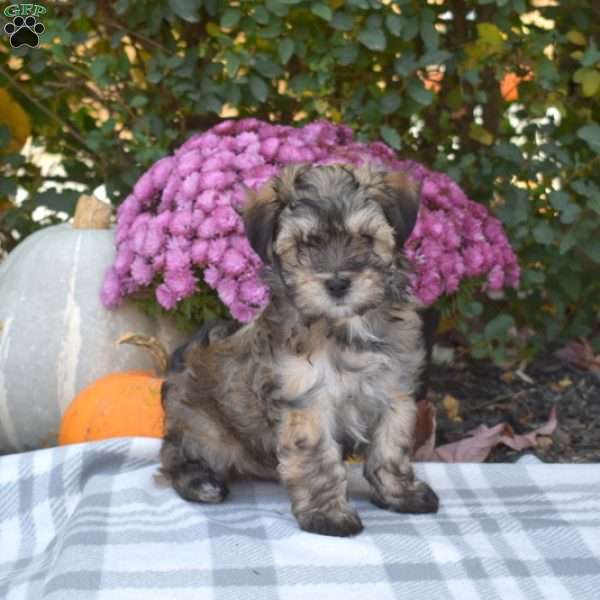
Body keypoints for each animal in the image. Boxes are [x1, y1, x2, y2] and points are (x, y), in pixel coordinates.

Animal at [162, 162, 438, 536]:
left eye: (365, 239)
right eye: (304, 245)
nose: (337, 283)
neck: (344, 328)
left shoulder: (393, 393)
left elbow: (390, 449)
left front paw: (401, 494)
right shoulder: (307, 402)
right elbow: (317, 459)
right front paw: (328, 515)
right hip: (202, 428)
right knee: (175, 455)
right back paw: (201, 482)